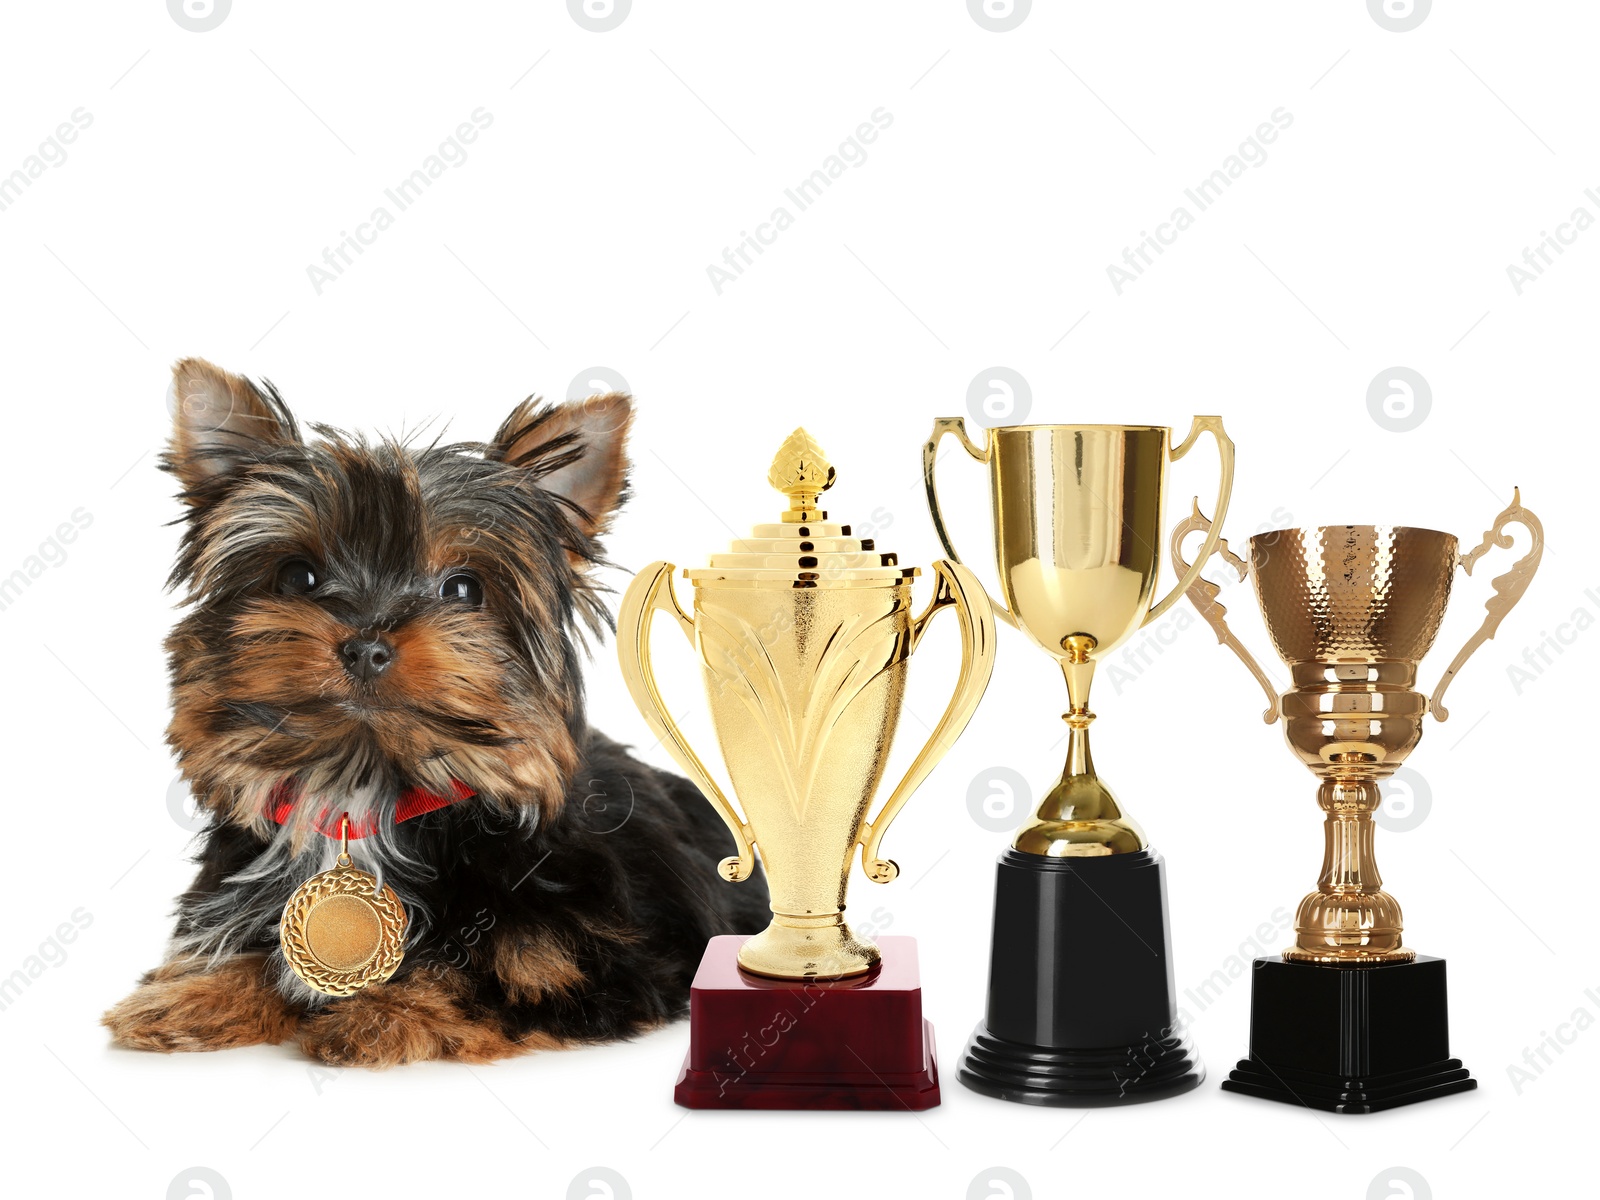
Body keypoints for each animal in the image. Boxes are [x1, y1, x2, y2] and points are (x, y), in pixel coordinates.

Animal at [106, 360, 768, 1068]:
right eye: (297, 577)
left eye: (462, 588)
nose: (366, 645)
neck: (365, 783)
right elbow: (250, 951)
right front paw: (189, 996)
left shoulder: (602, 961)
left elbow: (483, 976)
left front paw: (383, 1014)